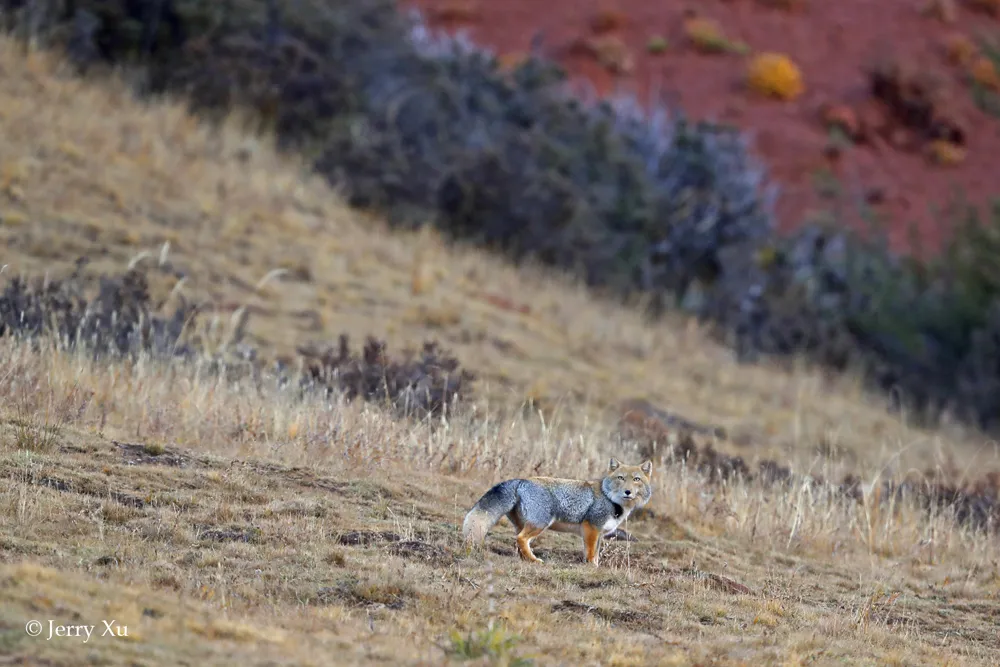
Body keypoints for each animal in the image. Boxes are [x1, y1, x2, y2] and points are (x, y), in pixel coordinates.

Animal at [458, 456, 652, 568]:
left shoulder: (599, 533)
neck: (611, 499)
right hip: (540, 523)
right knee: (521, 539)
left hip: (524, 524)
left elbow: (595, 553)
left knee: (519, 542)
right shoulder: (591, 528)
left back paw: (526, 559)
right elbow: (591, 554)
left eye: (636, 479)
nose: (628, 492)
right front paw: (592, 567)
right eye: (621, 478)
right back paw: (534, 560)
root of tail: (521, 480)